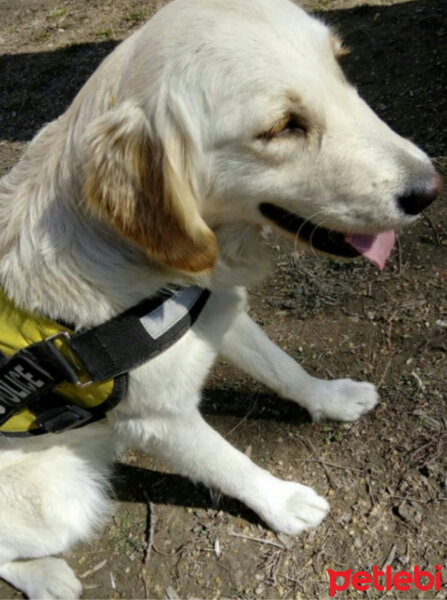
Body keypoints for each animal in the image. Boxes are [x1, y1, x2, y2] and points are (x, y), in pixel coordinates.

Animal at [0, 0, 440, 596]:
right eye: (282, 127)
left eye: (340, 67)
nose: (431, 189)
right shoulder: (161, 419)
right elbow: (230, 465)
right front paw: (283, 502)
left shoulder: (218, 309)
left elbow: (284, 368)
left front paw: (331, 397)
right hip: (58, 499)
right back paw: (47, 576)